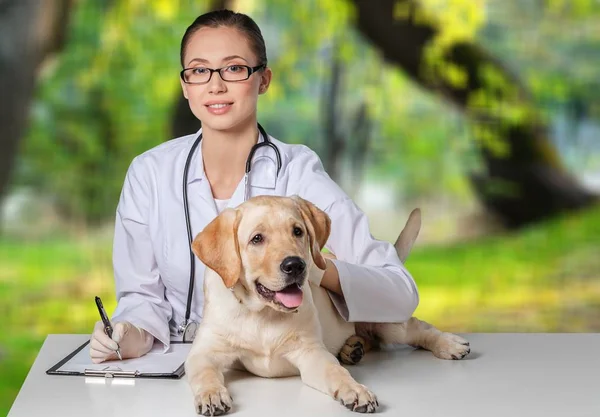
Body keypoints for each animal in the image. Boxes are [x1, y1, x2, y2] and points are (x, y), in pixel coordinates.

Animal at [186, 194, 468, 412]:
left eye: (297, 231)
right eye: (257, 239)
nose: (296, 265)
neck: (262, 314)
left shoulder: (311, 352)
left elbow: (336, 372)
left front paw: (355, 390)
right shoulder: (204, 352)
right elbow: (204, 373)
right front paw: (211, 394)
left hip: (385, 316)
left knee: (417, 328)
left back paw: (449, 344)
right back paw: (352, 348)